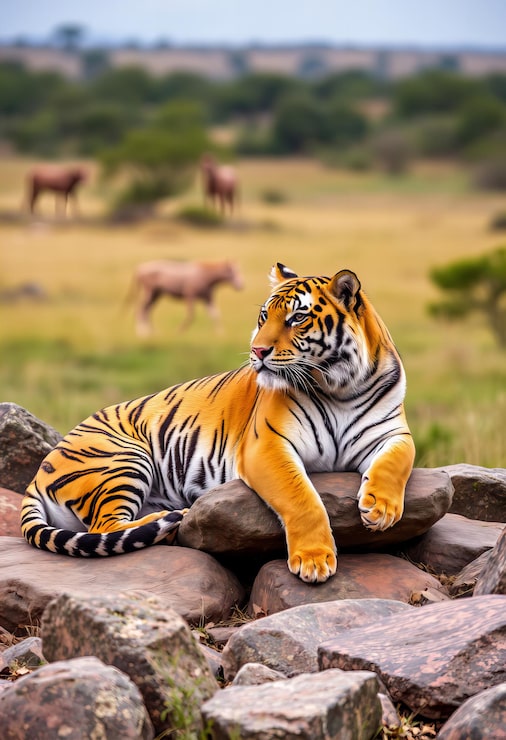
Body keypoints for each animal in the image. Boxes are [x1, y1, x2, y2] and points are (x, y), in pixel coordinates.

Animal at [21, 263, 415, 583]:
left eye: (297, 318)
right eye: (263, 316)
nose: (257, 351)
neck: (340, 387)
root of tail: (38, 473)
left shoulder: (393, 433)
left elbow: (397, 462)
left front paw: (381, 509)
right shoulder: (266, 444)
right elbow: (302, 497)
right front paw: (314, 560)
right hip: (123, 458)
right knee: (106, 525)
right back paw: (172, 520)